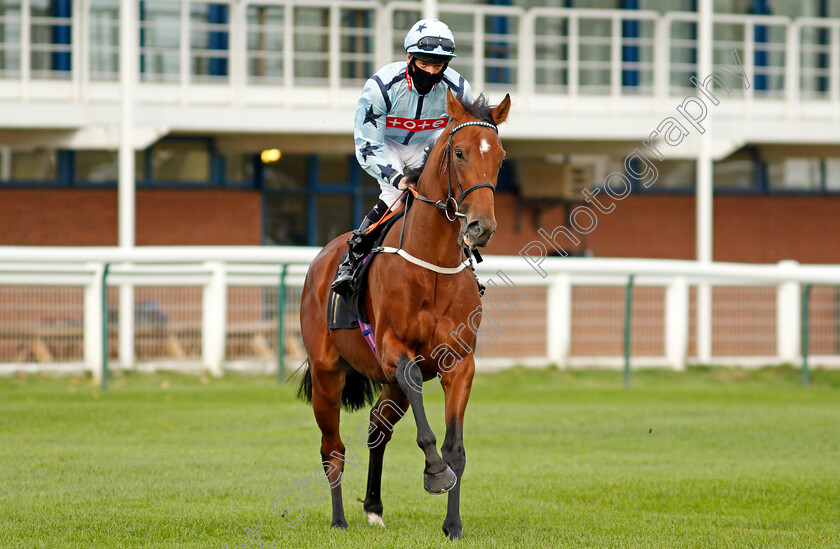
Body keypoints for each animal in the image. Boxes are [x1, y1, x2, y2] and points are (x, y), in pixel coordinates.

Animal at [300, 90, 512, 540]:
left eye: (500, 157)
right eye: (460, 152)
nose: (481, 227)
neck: (431, 266)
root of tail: (322, 259)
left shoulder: (459, 363)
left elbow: (456, 448)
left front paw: (453, 525)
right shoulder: (394, 351)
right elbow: (424, 416)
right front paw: (434, 471)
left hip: (386, 384)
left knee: (377, 429)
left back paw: (373, 507)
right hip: (328, 373)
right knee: (332, 448)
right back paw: (339, 519)